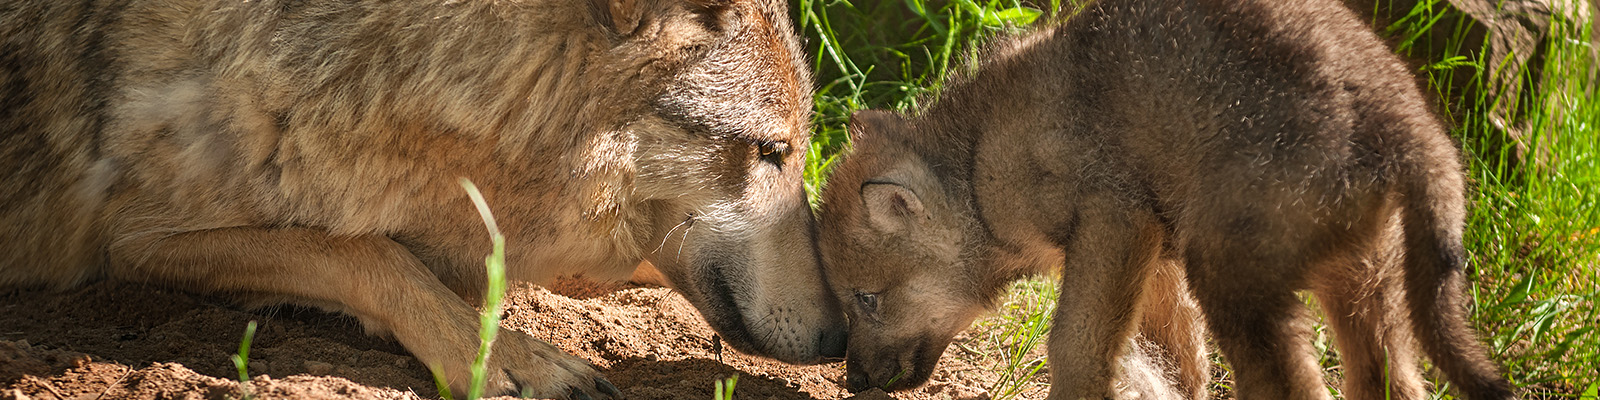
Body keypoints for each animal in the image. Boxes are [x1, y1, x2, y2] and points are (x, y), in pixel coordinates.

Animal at [0, 0, 851, 395]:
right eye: (772, 152)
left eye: (794, 153)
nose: (840, 339)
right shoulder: (135, 241)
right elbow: (361, 250)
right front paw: (514, 358)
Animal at [819, 0, 1516, 400]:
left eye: (866, 298)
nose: (853, 382)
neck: (978, 159)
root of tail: (1408, 128)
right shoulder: (1154, 254)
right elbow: (1178, 365)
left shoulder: (1114, 219)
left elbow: (1075, 353)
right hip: (1365, 288)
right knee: (1392, 382)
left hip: (1233, 279)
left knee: (1292, 385)